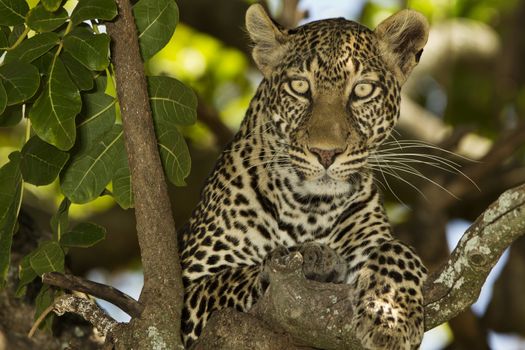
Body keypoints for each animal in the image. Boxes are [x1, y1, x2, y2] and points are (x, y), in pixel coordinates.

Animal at [180, 4, 430, 348]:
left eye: (362, 90)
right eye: (299, 87)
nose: (325, 153)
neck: (309, 208)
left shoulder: (371, 242)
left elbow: (398, 250)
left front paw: (391, 317)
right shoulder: (191, 289)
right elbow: (239, 274)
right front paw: (313, 257)